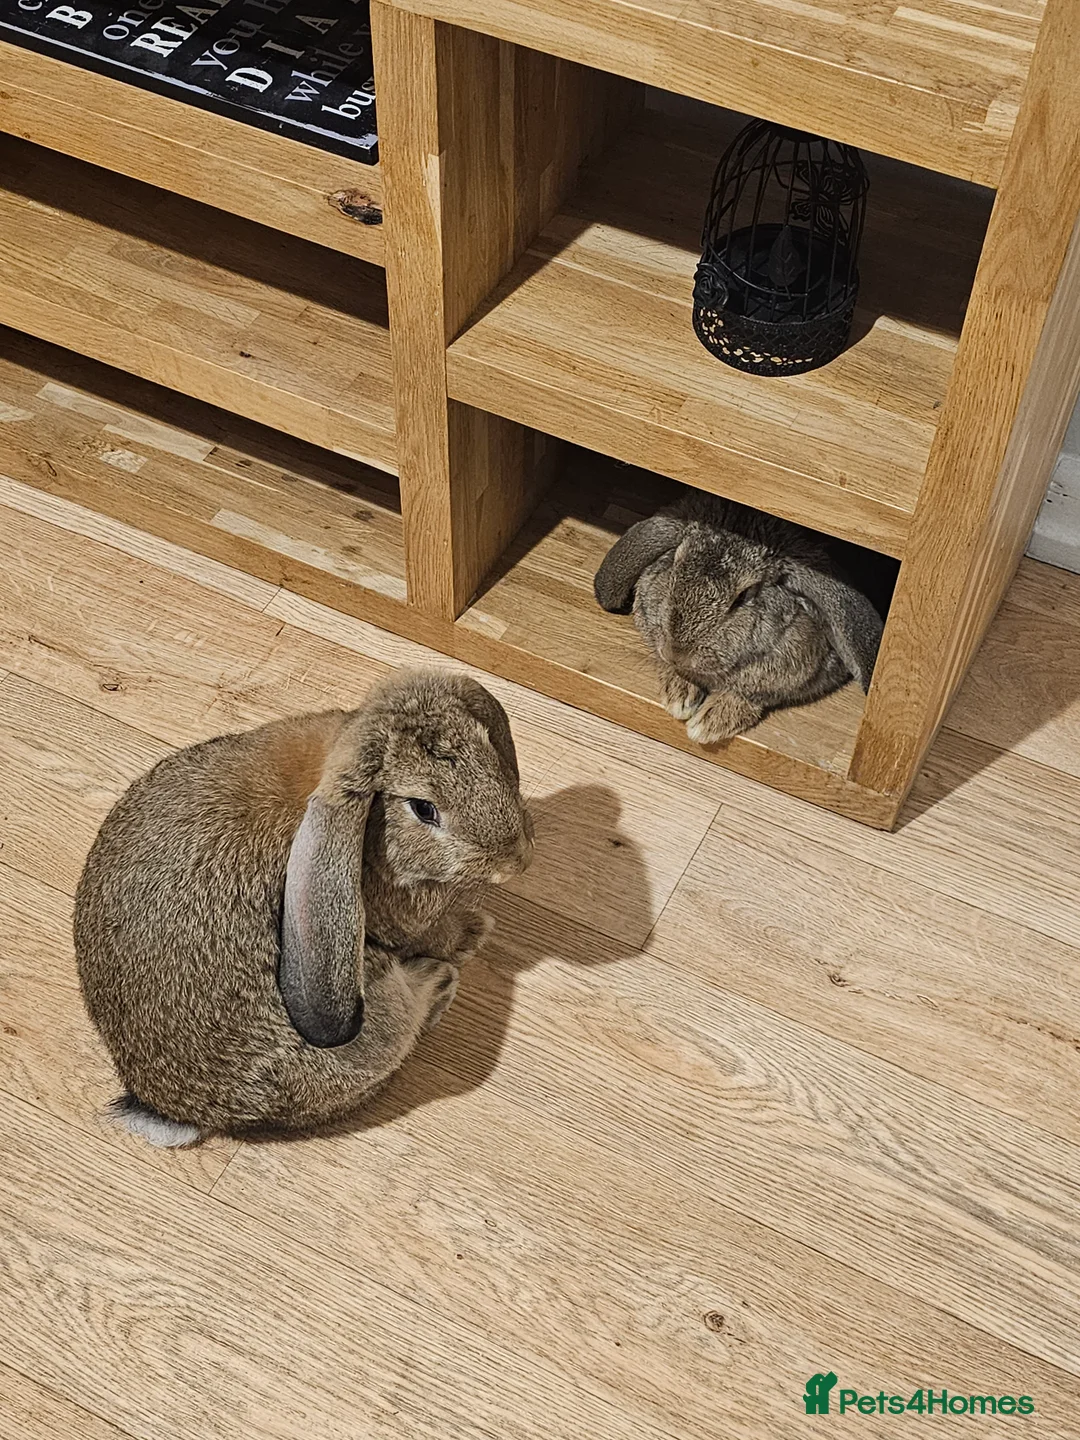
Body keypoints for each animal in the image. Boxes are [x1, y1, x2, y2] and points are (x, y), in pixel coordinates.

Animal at [74, 668, 533, 1147]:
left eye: (488, 747)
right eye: (423, 808)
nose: (516, 860)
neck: (369, 829)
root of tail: (173, 1110)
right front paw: (473, 931)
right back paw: (440, 982)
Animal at [594, 493, 885, 745]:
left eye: (744, 596)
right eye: (674, 563)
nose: (676, 652)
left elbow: (751, 695)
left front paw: (709, 724)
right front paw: (679, 697)